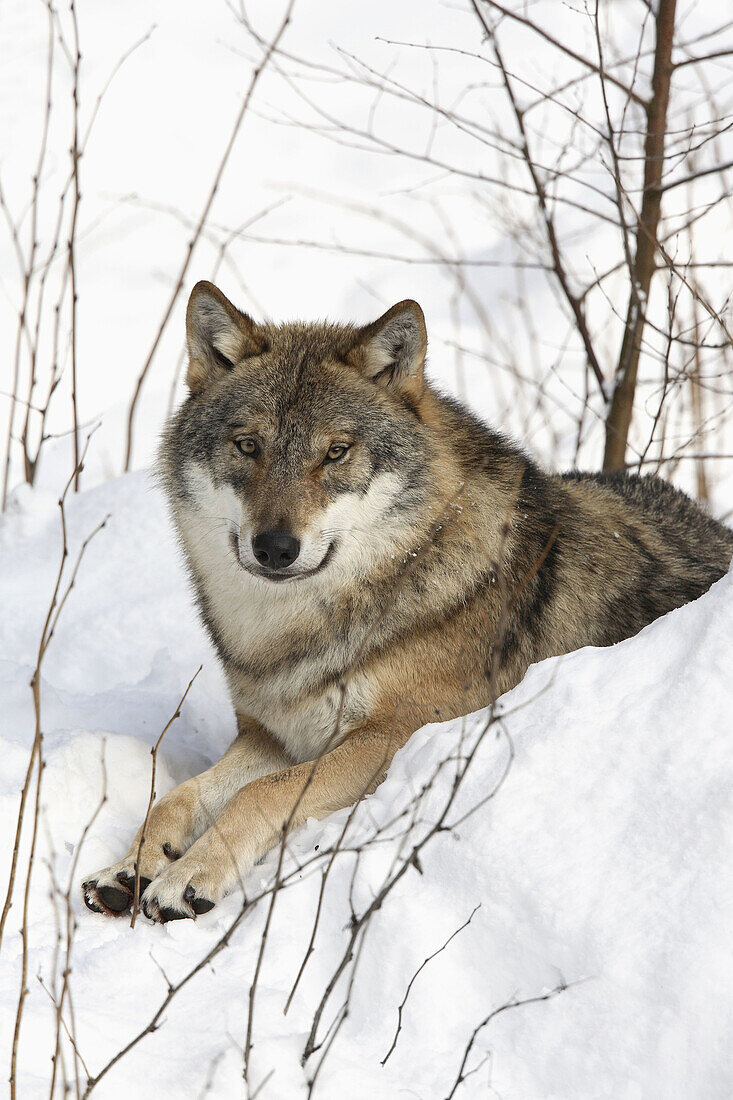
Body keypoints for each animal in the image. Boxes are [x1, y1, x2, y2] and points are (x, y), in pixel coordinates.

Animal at [81, 281, 730, 919]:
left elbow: (260, 793)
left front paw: (189, 876)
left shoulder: (391, 738)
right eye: (247, 446)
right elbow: (180, 796)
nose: (275, 547)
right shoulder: (272, 736)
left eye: (336, 452)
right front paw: (130, 866)